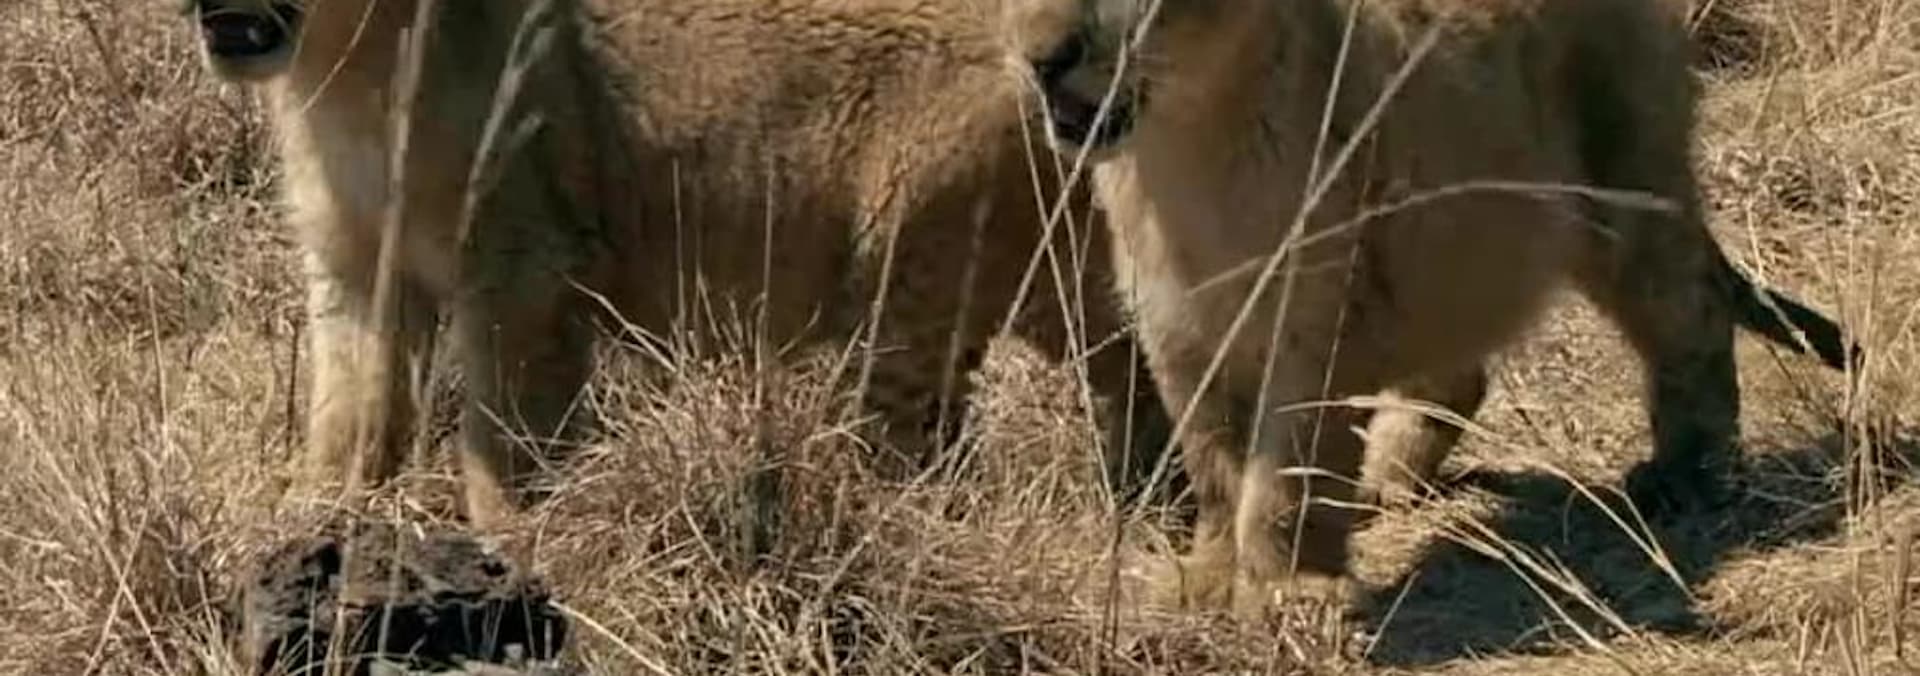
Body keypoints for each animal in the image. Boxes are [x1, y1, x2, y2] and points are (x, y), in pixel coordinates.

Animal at [184, 0, 1182, 527]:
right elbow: (347, 418)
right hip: (1058, 271)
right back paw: (1154, 510)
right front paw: (315, 522)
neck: (346, 58)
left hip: (918, 269)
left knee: (916, 454)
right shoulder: (354, 269)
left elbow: (502, 440)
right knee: (1135, 368)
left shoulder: (524, 266)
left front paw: (515, 547)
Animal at [998, 0, 1857, 611]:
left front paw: (1288, 592)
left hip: (1624, 192)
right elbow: (1214, 467)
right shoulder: (1179, 334)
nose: (1042, 58)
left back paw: (1686, 475)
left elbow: (1287, 471)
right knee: (1462, 374)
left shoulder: (1310, 322)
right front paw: (1207, 579)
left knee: (1691, 322)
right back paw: (1387, 480)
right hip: (1450, 244)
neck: (1180, 156)